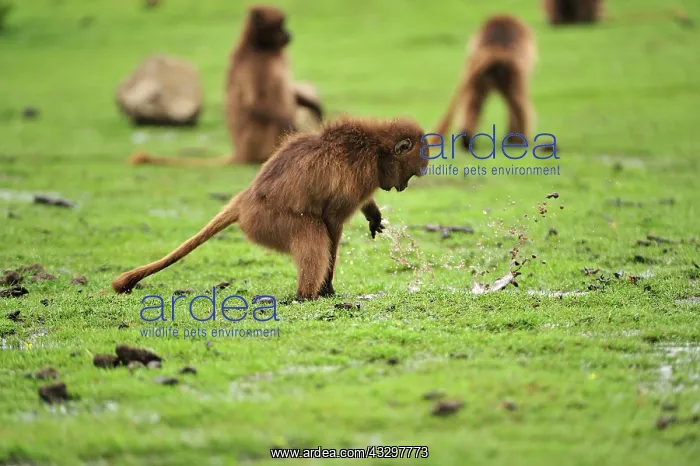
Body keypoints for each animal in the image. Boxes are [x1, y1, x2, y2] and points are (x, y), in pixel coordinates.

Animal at [112, 117, 430, 300]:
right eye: (413, 172)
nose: (403, 187)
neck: (375, 147)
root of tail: (246, 198)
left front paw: (373, 215)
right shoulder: (358, 175)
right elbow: (331, 223)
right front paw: (328, 288)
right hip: (266, 221)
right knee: (311, 232)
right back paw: (306, 296)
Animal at [128, 6, 323, 168]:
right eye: (280, 25)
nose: (289, 34)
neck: (261, 47)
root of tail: (239, 152)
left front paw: (314, 107)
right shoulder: (255, 64)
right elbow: (254, 103)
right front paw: (296, 130)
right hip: (254, 141)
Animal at [429, 15, 537, 151]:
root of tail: (496, 49)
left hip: (482, 73)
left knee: (474, 100)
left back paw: (467, 139)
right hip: (511, 71)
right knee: (517, 102)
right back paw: (521, 139)